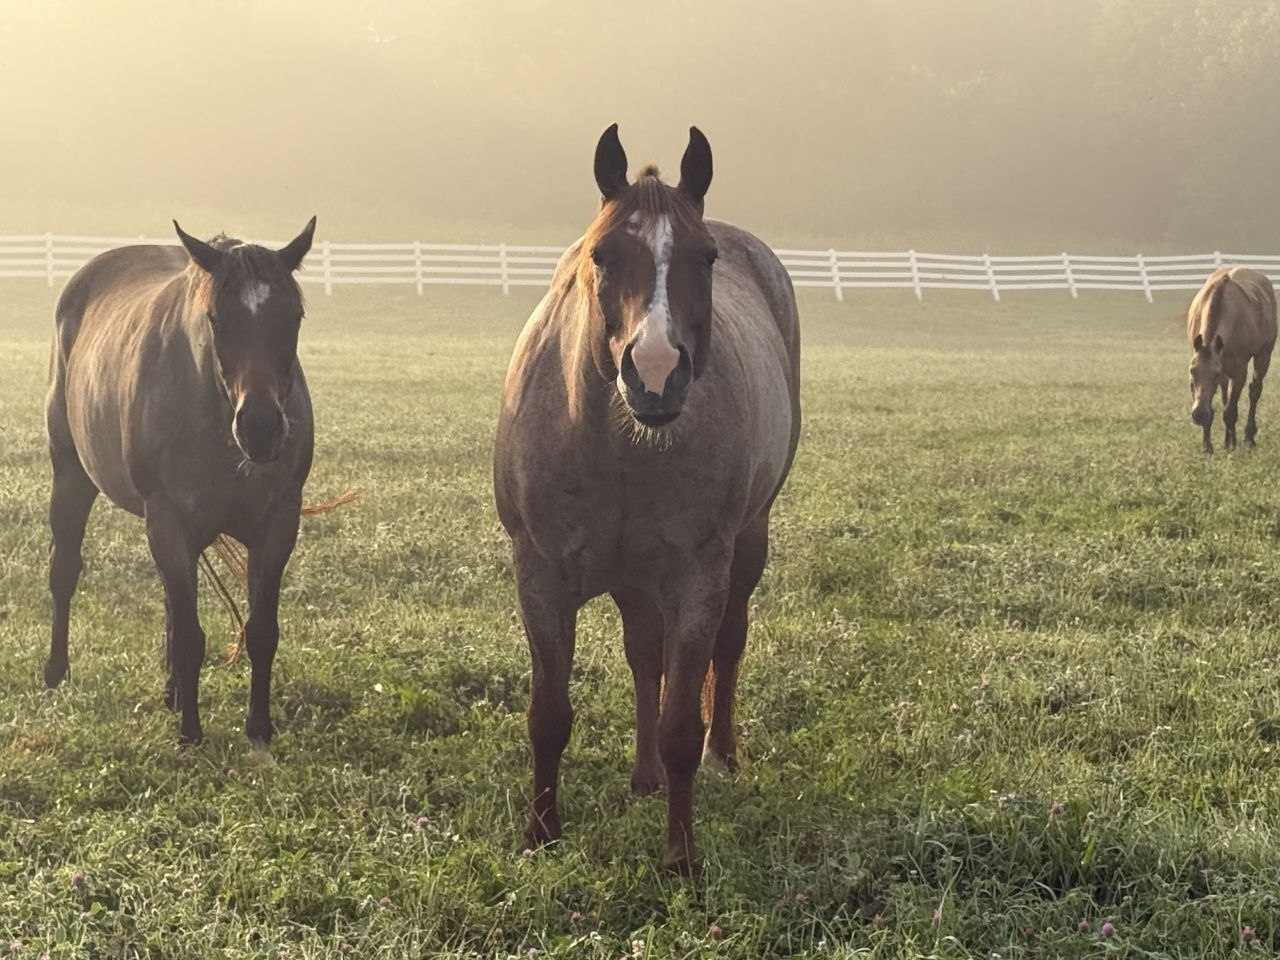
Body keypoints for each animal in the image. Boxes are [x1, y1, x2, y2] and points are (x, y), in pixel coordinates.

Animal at [45, 218, 318, 746]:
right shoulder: (169, 523)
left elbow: (261, 630)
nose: (261, 428)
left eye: (294, 317)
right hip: (71, 475)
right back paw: (55, 672)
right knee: (64, 571)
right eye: (216, 319)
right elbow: (191, 636)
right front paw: (191, 733)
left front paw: (258, 727)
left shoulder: (277, 526)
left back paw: (172, 690)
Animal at [494, 125, 801, 874]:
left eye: (705, 257)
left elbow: (681, 722)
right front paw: (541, 834)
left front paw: (681, 855)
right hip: (635, 580)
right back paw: (642, 776)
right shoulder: (539, 577)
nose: (655, 373)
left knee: (727, 645)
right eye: (602, 254)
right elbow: (549, 715)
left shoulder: (696, 578)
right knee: (643, 655)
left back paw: (721, 755)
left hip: (745, 545)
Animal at [1187, 267, 1277, 453]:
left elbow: (1230, 411)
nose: (1199, 415)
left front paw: (1232, 447)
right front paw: (1208, 447)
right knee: (1225, 397)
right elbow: (1219, 405)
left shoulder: (1238, 371)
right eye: (1192, 371)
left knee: (1254, 391)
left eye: (1214, 374)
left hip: (1264, 354)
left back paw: (1248, 438)